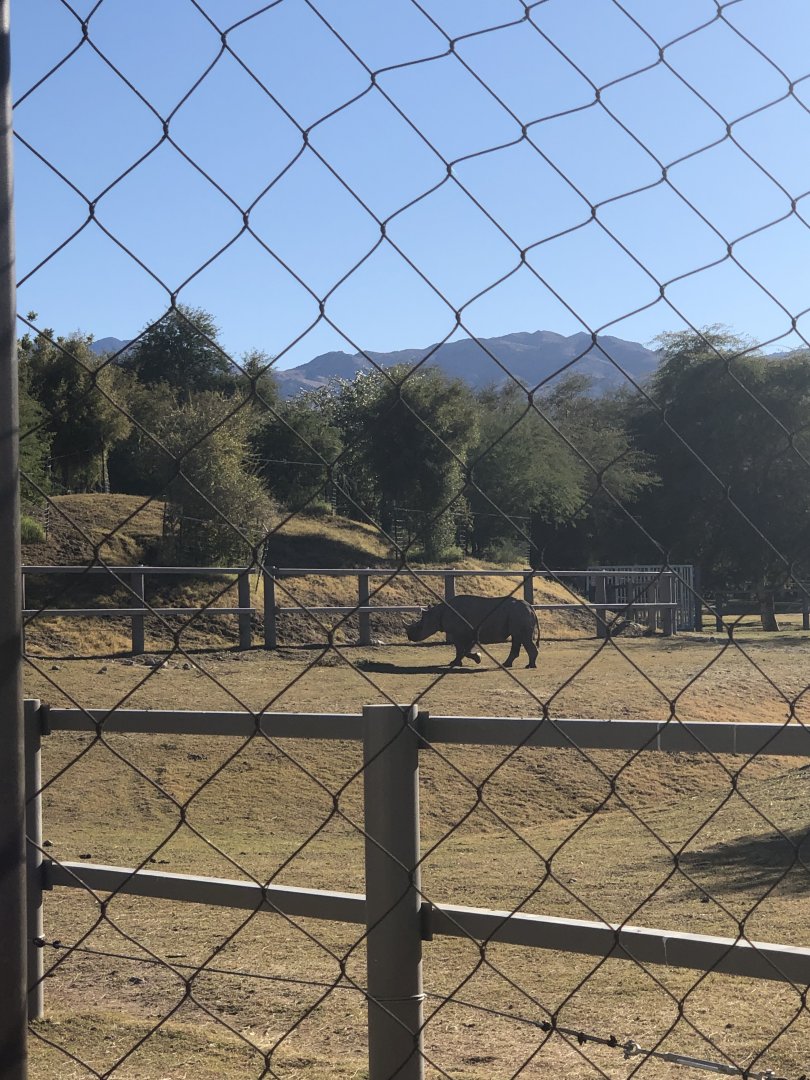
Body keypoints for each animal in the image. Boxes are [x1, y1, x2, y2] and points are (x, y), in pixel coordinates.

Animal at [406, 594, 539, 668]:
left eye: (419, 627)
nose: (409, 637)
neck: (437, 614)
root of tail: (531, 607)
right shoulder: (466, 633)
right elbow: (461, 650)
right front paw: (456, 663)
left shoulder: (461, 633)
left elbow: (462, 649)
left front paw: (476, 658)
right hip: (518, 615)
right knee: (517, 637)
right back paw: (507, 664)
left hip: (520, 614)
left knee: (523, 638)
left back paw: (529, 666)